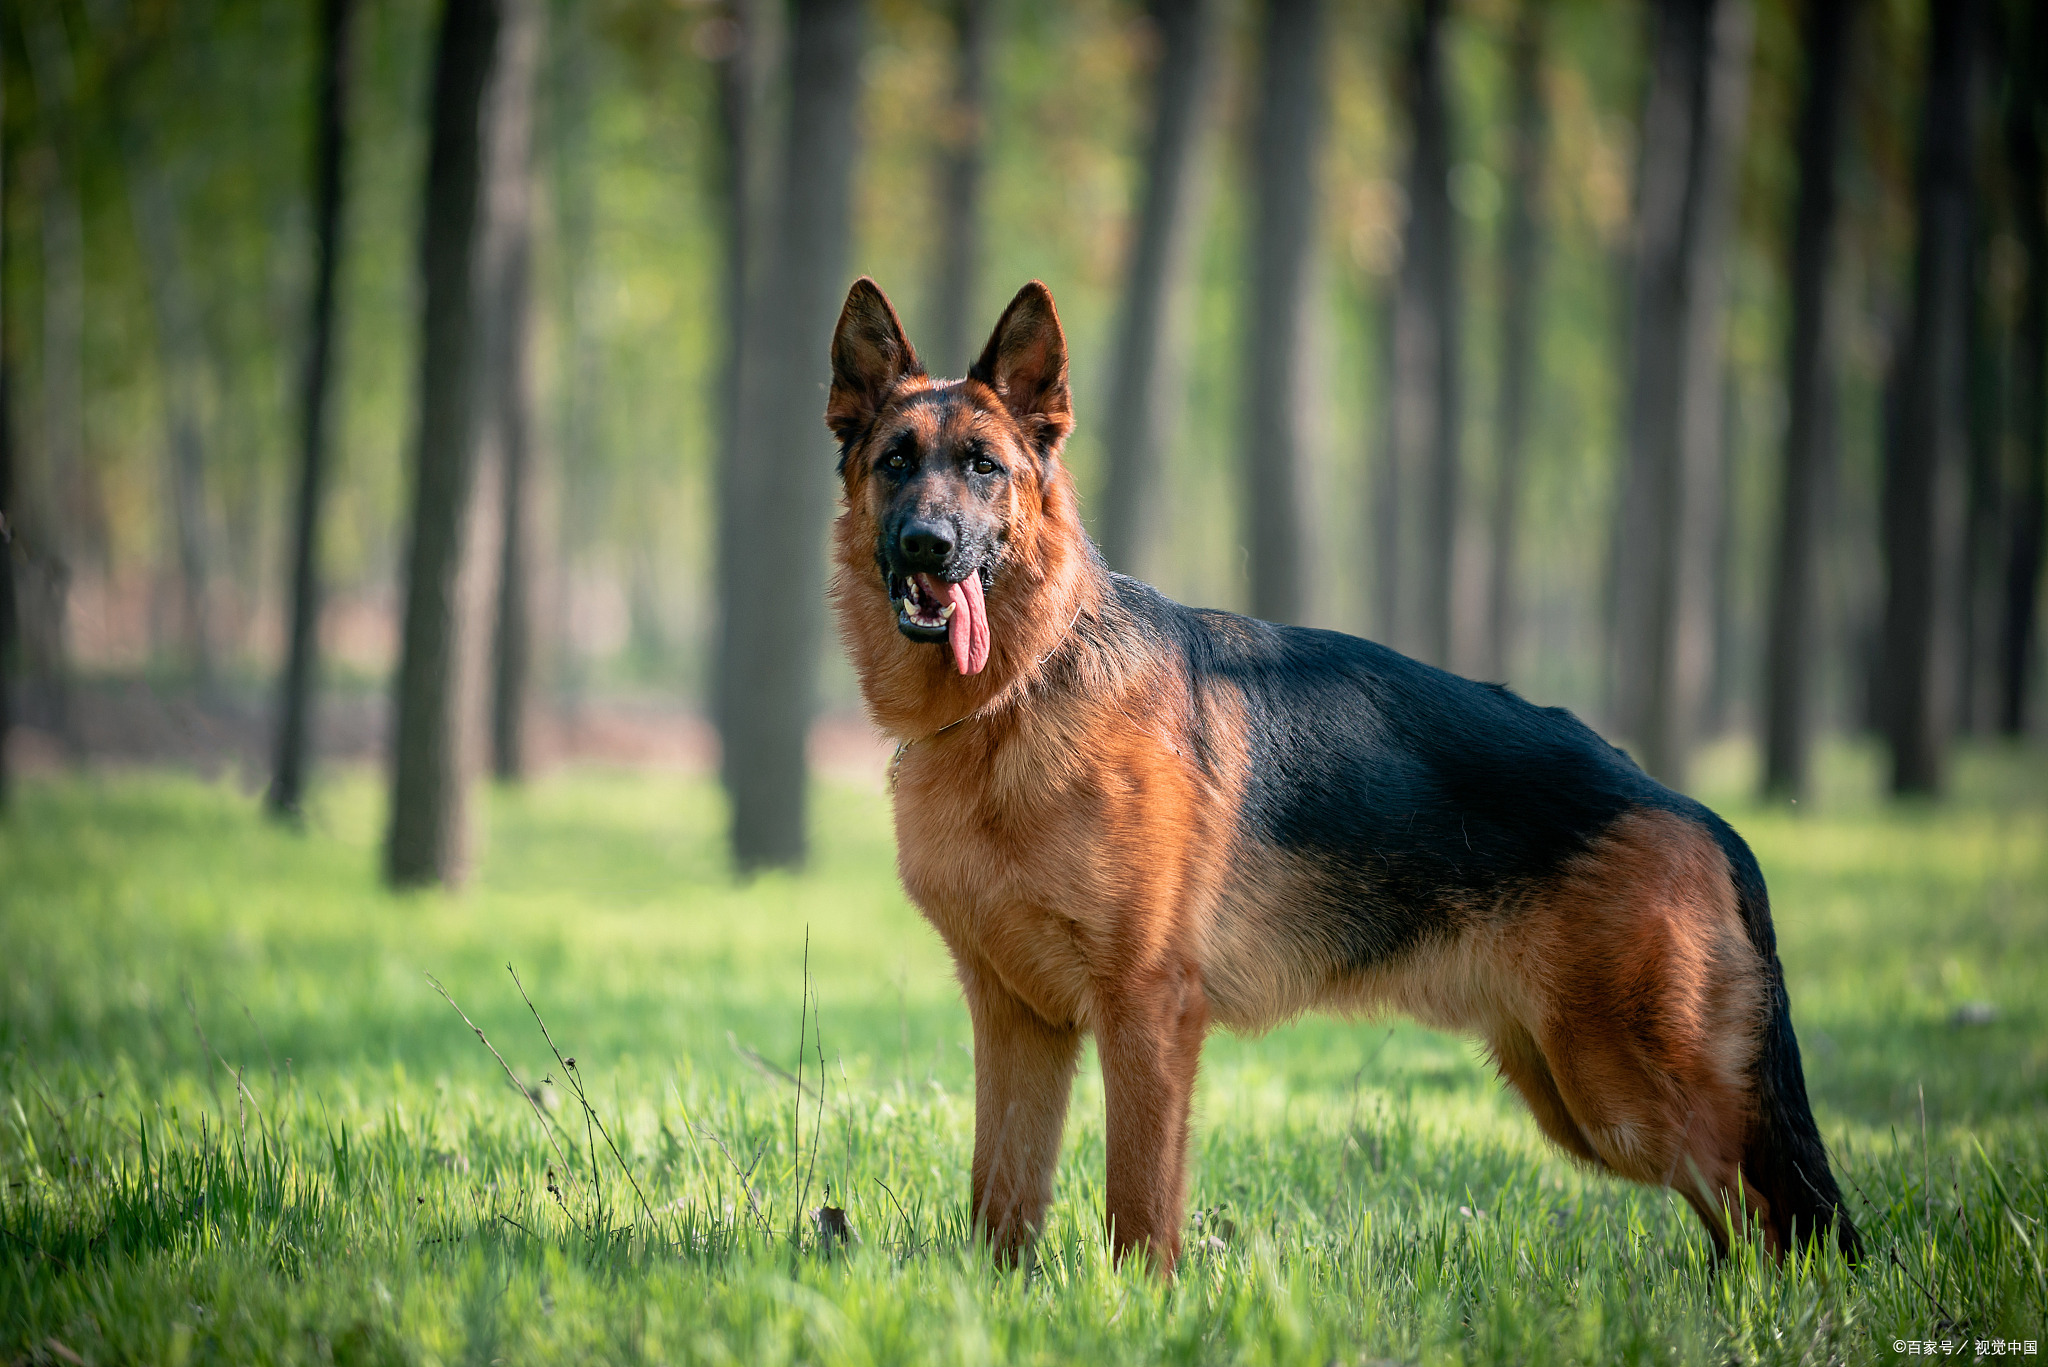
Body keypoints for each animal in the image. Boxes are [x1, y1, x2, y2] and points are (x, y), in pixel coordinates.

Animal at [823, 274, 1867, 1270]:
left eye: (983, 468)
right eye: (897, 463)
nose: (927, 546)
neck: (1024, 689)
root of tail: (1693, 810)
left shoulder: (1147, 1015)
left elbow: (1139, 1208)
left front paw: (1139, 1307)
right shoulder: (1018, 1023)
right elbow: (1000, 1200)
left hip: (1628, 1093)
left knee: (1788, 1225)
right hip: (1577, 1092)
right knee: (1753, 1228)